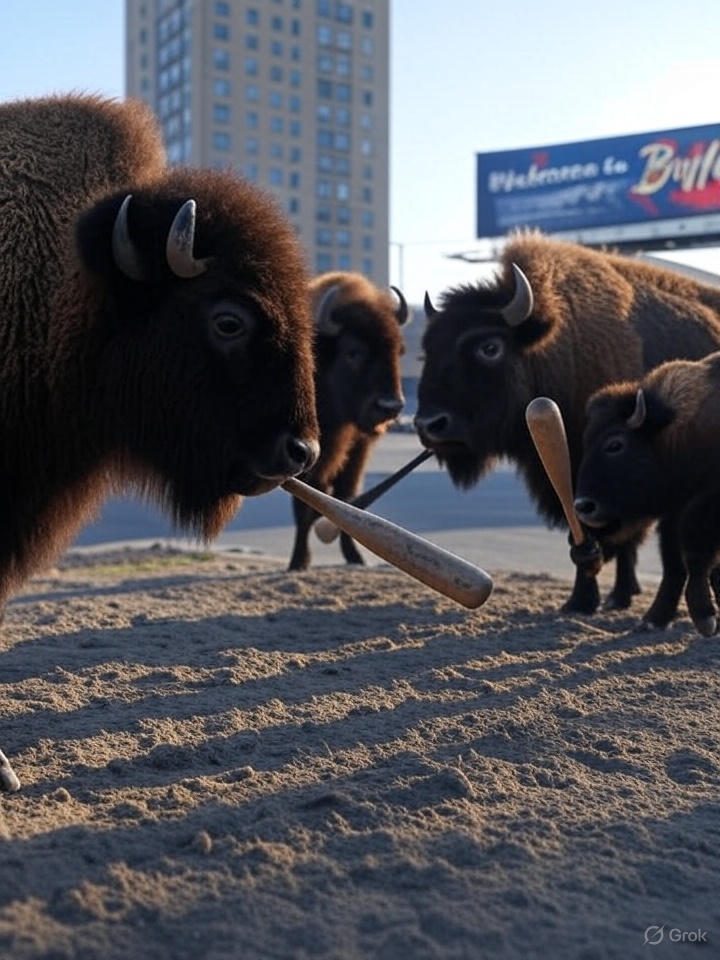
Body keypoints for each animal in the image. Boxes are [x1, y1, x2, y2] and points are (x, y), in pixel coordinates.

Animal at [288, 272, 409, 570]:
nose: (390, 406)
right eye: (353, 352)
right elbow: (305, 506)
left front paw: (355, 557)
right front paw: (298, 561)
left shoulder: (357, 449)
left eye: (398, 350)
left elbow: (347, 498)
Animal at [575, 353, 720, 635]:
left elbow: (695, 554)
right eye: (586, 441)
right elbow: (673, 563)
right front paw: (654, 619)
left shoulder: (703, 505)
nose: (583, 506)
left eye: (615, 444)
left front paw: (705, 618)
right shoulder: (673, 513)